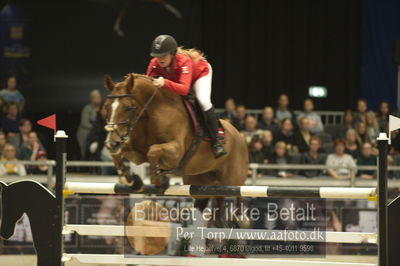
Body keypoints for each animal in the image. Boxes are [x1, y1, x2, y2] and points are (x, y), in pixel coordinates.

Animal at [103, 72, 247, 197]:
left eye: (127, 108)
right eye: (106, 106)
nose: (111, 143)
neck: (152, 112)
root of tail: (239, 135)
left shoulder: (175, 152)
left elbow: (153, 150)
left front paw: (160, 181)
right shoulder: (136, 153)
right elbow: (118, 154)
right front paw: (131, 181)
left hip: (233, 181)